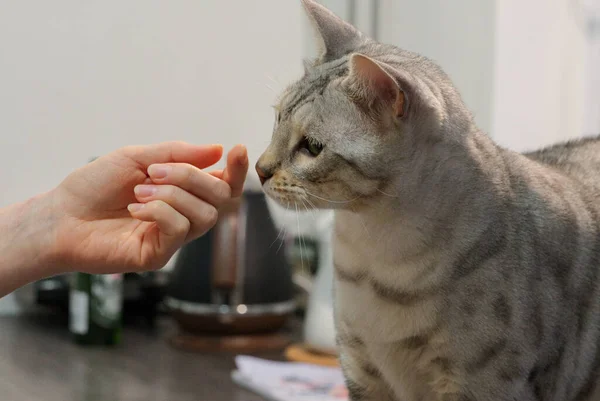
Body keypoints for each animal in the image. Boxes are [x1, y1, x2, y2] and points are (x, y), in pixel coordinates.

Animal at [258, 1, 600, 398]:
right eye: (277, 119)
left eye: (312, 147)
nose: (260, 169)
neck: (374, 257)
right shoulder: (361, 371)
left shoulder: (481, 384)